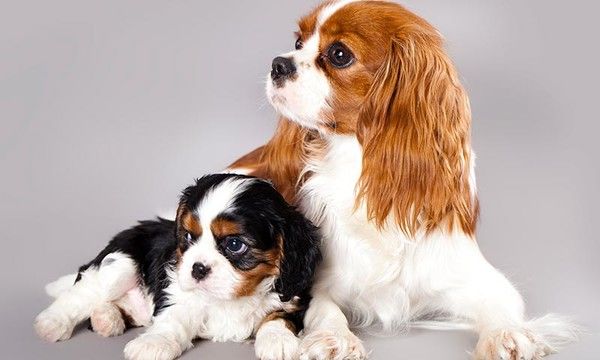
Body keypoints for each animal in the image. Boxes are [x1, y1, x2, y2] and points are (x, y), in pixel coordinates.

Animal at [34, 173, 322, 358]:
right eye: (188, 237)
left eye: (234, 244)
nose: (197, 268)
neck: (235, 296)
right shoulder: (178, 294)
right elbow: (172, 319)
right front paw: (153, 343)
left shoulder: (295, 296)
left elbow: (279, 316)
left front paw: (278, 340)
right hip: (119, 263)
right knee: (83, 292)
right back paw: (53, 323)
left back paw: (107, 319)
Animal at [229, 0, 576, 360]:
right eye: (298, 42)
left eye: (339, 54)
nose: (278, 64)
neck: (360, 168)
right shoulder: (319, 283)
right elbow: (324, 310)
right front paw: (335, 339)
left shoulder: (474, 275)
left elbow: (500, 303)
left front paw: (507, 334)